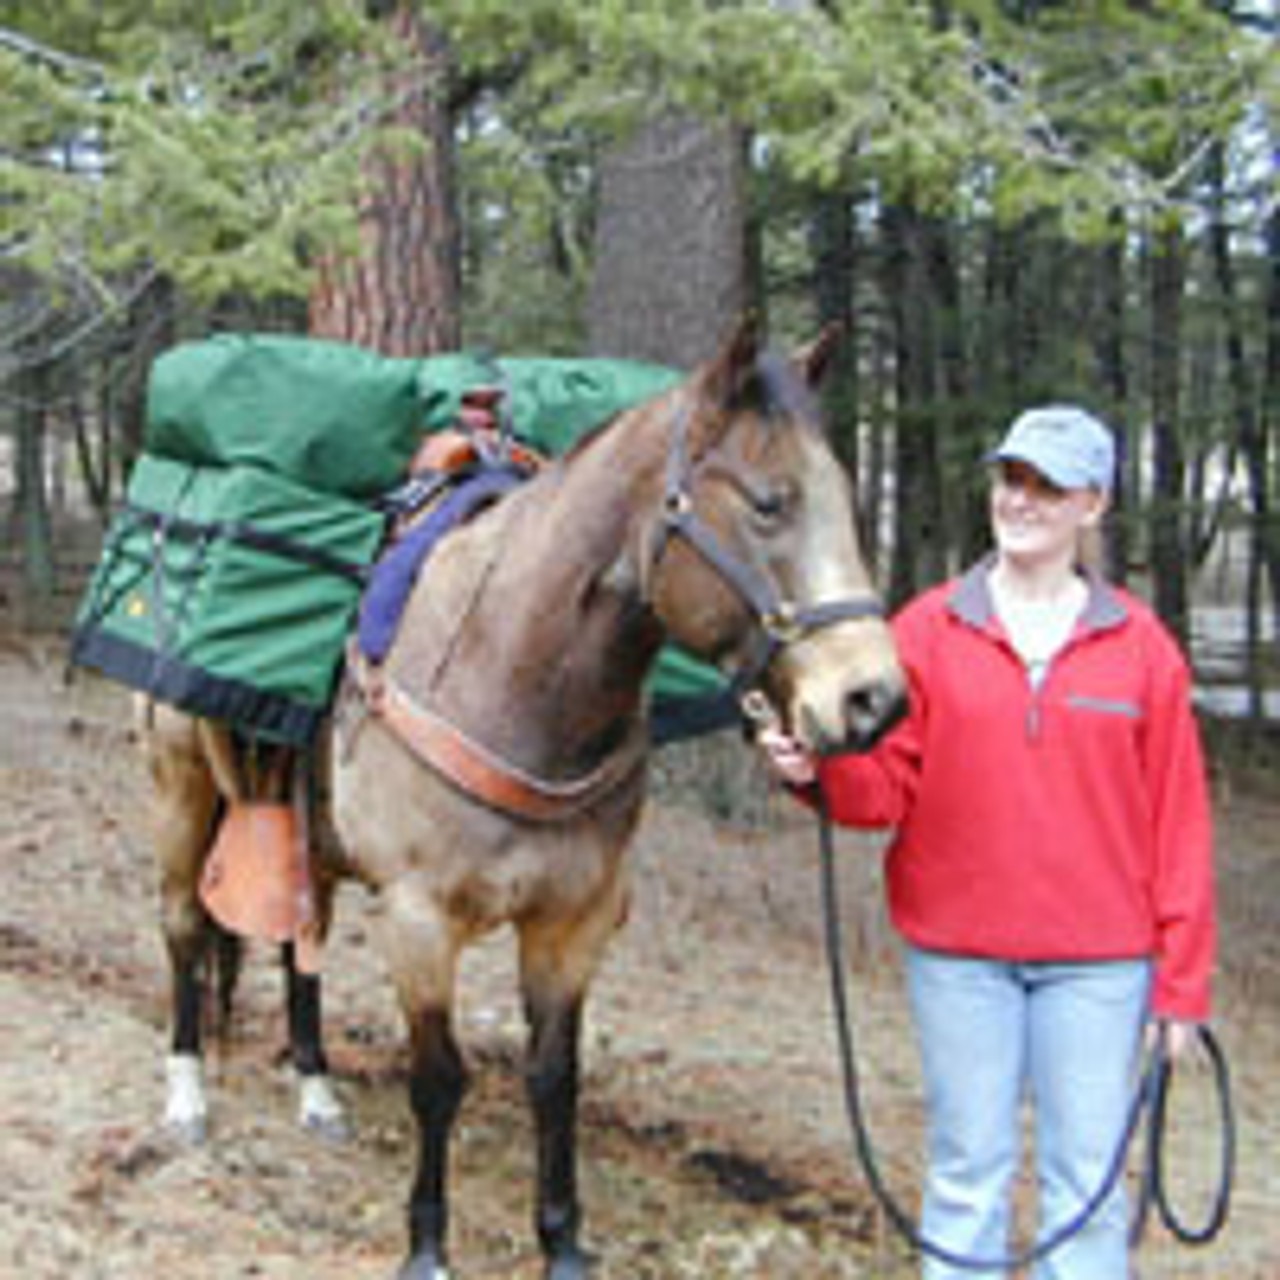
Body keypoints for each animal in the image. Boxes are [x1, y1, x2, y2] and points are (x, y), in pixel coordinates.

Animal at [325, 312, 911, 1280]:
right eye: (769, 502)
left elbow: (555, 1078)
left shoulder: (574, 923)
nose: (874, 701)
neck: (510, 678)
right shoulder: (417, 920)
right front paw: (427, 1243)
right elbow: (438, 1078)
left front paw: (562, 1237)